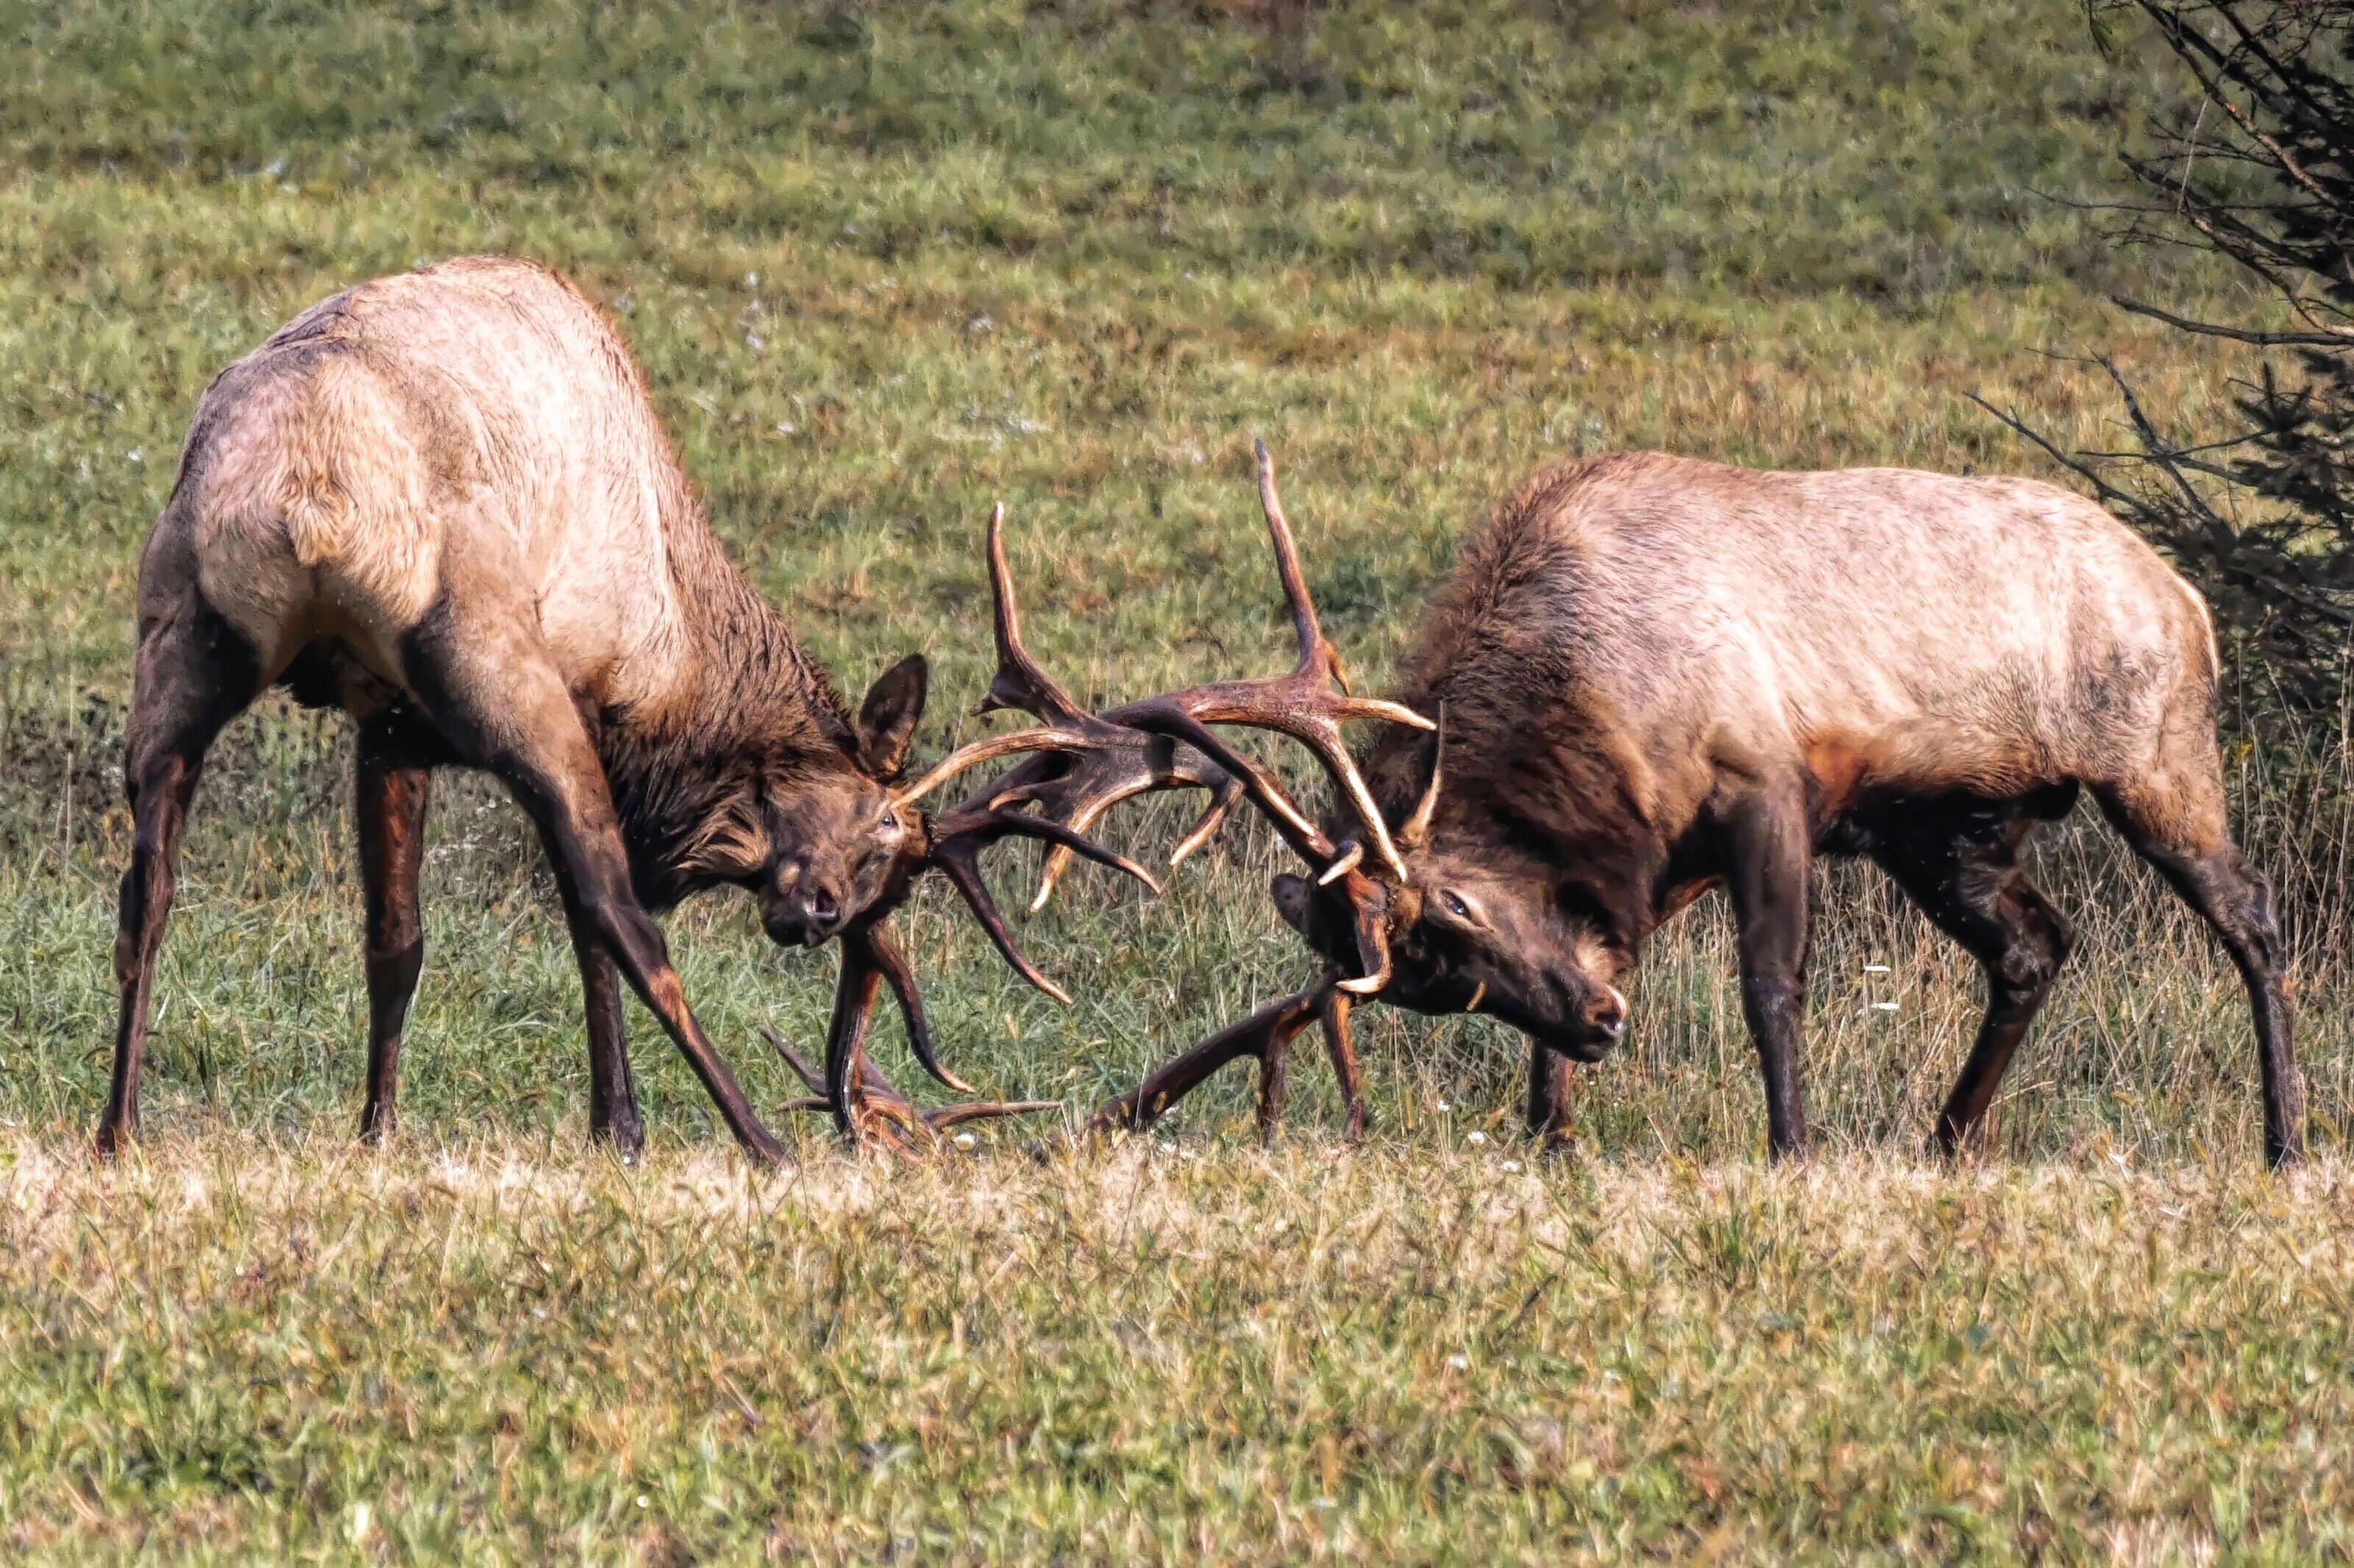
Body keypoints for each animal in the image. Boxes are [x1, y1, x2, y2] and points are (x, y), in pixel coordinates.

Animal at [103, 254, 1150, 1165]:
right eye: (881, 826)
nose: (817, 916)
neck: (676, 661)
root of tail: (312, 489)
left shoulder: (387, 725)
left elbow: (395, 941)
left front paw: (377, 1132)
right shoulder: (576, 699)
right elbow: (584, 920)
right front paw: (621, 1126)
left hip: (178, 625)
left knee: (146, 889)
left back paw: (120, 1128)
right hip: (493, 659)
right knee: (626, 916)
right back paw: (761, 1142)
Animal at [977, 446, 2302, 1169]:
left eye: (1457, 909)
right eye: (1432, 984)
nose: (1606, 1025)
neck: (1596, 716)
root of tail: (2186, 595)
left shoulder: (1768, 783)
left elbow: (1771, 987)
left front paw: (1792, 1149)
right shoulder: (1652, 863)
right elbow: (1583, 981)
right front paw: (1550, 1136)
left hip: (2156, 755)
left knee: (2252, 917)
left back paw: (2287, 1141)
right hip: (1950, 831)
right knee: (2034, 946)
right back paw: (1946, 1139)